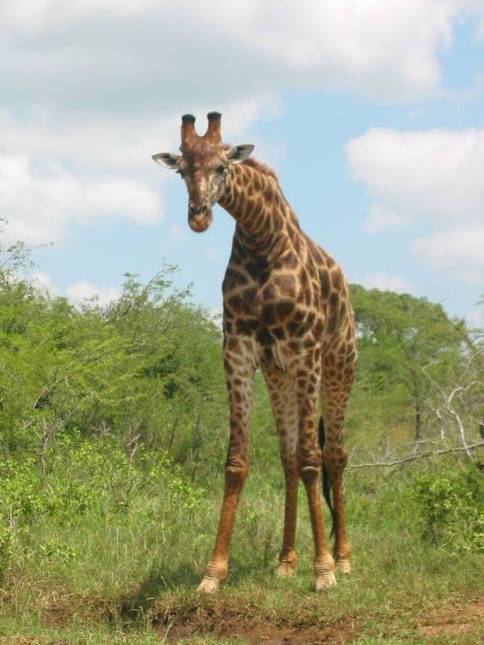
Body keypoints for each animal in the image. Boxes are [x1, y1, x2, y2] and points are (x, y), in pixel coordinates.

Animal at [153, 112, 358, 592]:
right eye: (182, 170)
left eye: (222, 166)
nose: (198, 218)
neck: (262, 237)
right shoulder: (240, 351)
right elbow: (238, 462)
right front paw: (213, 574)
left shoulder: (305, 350)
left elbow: (313, 460)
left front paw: (323, 573)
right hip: (279, 374)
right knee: (288, 459)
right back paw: (285, 561)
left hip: (338, 366)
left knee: (334, 456)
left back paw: (342, 559)